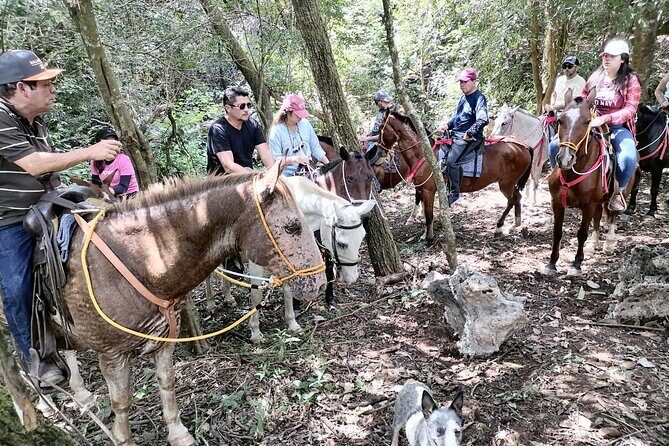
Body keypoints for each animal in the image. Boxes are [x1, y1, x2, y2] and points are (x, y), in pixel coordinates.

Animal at [54, 163, 325, 446]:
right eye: (293, 227)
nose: (321, 283)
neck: (140, 259)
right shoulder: (111, 355)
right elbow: (121, 403)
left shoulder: (163, 341)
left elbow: (167, 382)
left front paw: (178, 433)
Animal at [379, 110, 533, 241]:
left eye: (380, 127)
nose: (379, 151)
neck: (423, 155)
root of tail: (523, 146)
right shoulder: (422, 190)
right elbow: (426, 211)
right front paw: (425, 234)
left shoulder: (428, 190)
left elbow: (429, 215)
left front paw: (428, 238)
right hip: (510, 183)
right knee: (518, 197)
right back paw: (515, 225)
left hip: (506, 184)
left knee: (511, 201)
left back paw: (499, 227)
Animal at [543, 94, 635, 276]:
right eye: (561, 120)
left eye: (587, 122)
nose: (565, 158)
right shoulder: (556, 202)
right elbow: (557, 232)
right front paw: (552, 263)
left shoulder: (588, 205)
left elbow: (582, 233)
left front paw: (576, 264)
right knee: (598, 217)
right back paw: (593, 245)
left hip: (618, 194)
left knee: (612, 216)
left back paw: (609, 244)